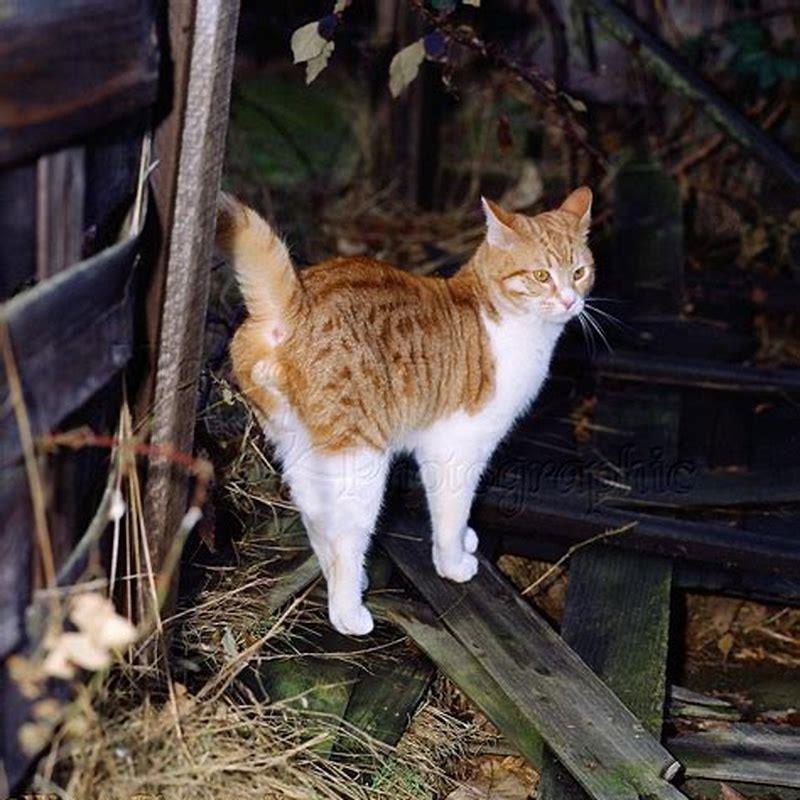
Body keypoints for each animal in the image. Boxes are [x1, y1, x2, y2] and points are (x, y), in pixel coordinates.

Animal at [217, 188, 592, 636]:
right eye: (541, 276)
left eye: (580, 272)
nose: (570, 301)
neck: (503, 321)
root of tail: (293, 303)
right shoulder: (454, 449)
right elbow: (450, 513)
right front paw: (453, 561)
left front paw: (465, 539)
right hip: (360, 464)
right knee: (344, 537)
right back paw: (348, 611)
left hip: (301, 450)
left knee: (316, 518)